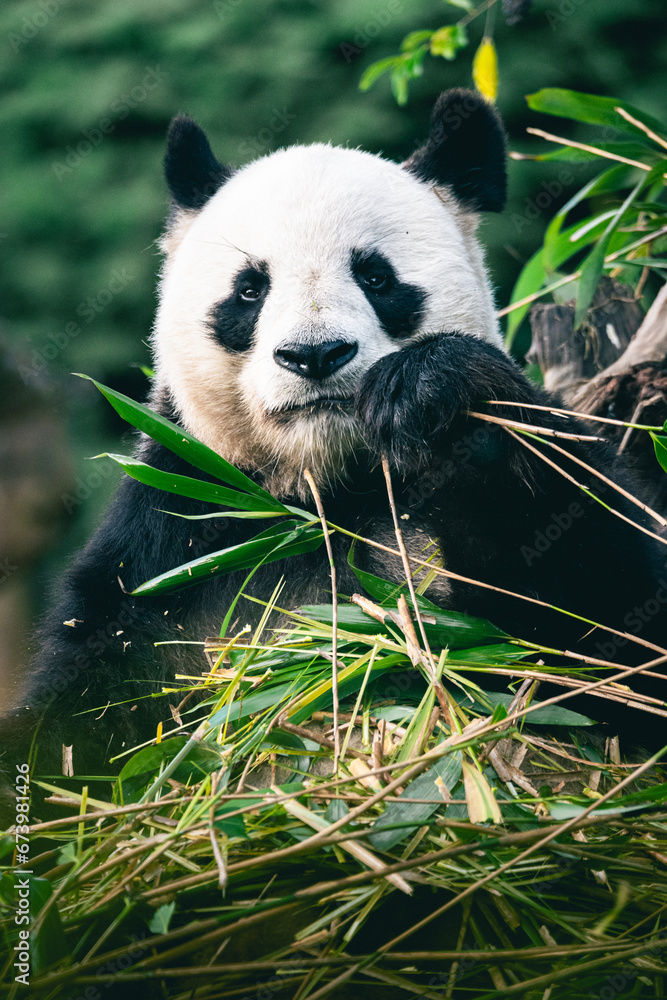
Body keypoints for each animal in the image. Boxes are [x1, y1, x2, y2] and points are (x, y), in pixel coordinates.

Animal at [2, 89, 665, 789]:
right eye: (249, 289)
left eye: (376, 277)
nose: (315, 355)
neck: (322, 490)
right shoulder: (171, 550)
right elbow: (81, 720)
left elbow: (619, 635)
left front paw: (436, 397)